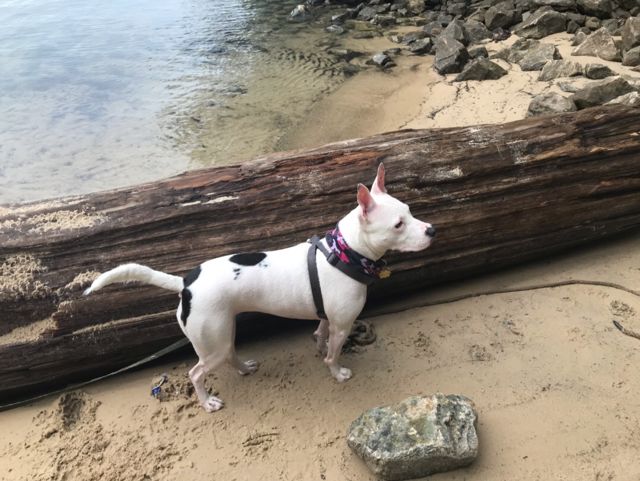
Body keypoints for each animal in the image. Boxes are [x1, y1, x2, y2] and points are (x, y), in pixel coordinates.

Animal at [84, 163, 435, 412]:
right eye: (398, 225)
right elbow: (333, 355)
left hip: (222, 332)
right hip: (212, 342)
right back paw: (207, 402)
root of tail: (186, 283)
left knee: (229, 355)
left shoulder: (326, 318)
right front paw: (336, 372)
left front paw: (319, 348)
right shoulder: (342, 325)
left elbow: (320, 335)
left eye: (409, 211)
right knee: (196, 373)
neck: (344, 252)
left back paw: (244, 368)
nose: (432, 230)